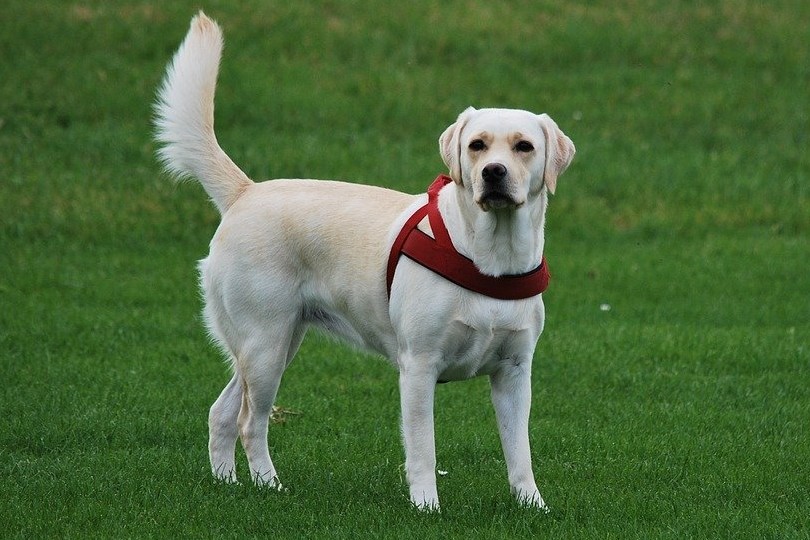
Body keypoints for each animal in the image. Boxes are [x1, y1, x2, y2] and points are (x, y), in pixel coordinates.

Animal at [156, 11, 576, 510]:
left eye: (523, 147)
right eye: (477, 145)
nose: (493, 173)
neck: (491, 258)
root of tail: (246, 191)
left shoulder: (514, 373)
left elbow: (519, 452)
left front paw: (533, 507)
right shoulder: (419, 367)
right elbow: (424, 449)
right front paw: (426, 507)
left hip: (272, 344)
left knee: (220, 413)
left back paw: (228, 484)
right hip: (265, 345)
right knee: (248, 422)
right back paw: (270, 487)